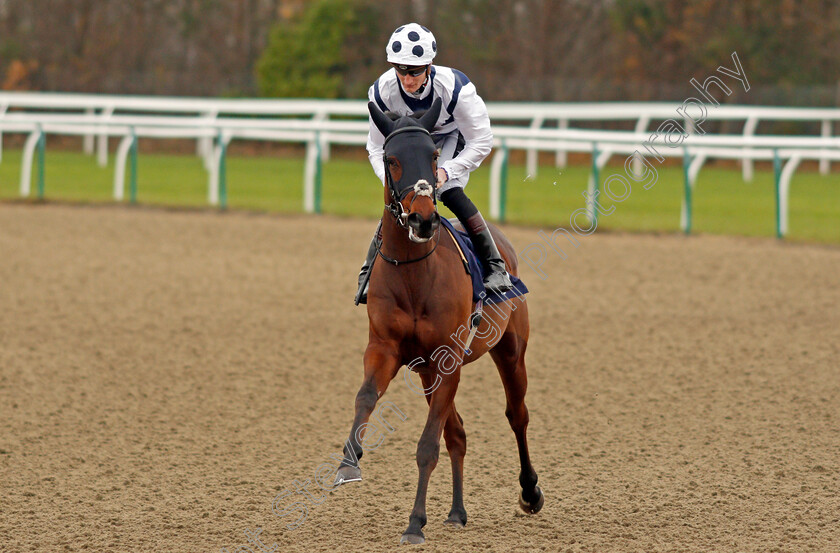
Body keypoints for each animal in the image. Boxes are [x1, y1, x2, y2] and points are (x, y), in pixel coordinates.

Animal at [334, 96, 544, 544]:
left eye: (432, 155)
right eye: (391, 159)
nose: (423, 219)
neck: (415, 273)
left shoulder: (449, 359)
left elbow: (428, 444)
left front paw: (415, 522)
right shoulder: (385, 348)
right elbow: (365, 396)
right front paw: (348, 463)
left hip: (509, 351)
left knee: (516, 415)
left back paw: (530, 492)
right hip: (426, 370)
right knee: (458, 433)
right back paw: (457, 511)